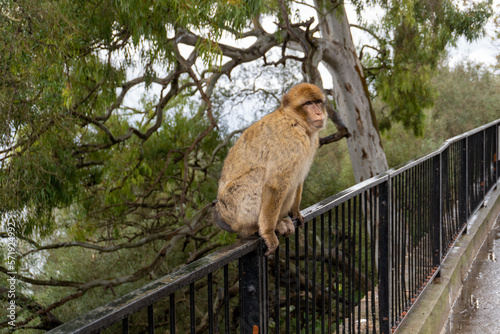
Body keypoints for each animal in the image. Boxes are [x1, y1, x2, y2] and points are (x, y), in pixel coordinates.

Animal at [214, 82, 328, 254]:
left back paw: (280, 220)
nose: (318, 112)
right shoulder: (289, 138)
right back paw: (254, 228)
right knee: (261, 174)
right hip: (233, 207)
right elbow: (275, 184)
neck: (297, 122)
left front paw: (296, 212)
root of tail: (222, 215)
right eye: (308, 103)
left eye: (318, 102)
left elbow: (299, 178)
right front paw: (268, 232)